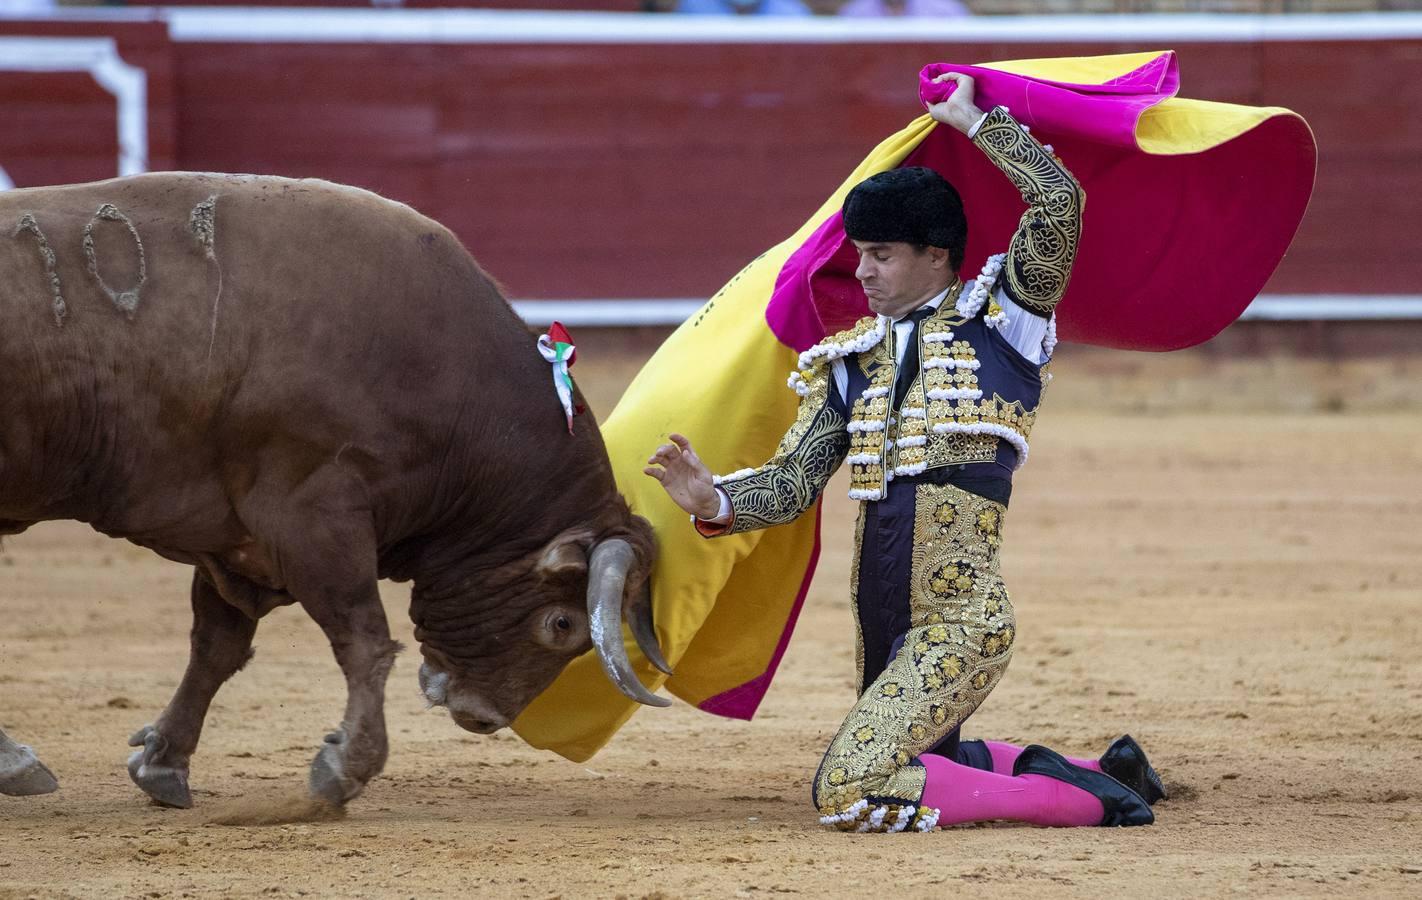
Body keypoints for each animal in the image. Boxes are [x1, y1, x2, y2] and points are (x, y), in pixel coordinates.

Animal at [0, 173, 671, 807]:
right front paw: (345, 767)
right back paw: (18, 764)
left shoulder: (238, 541)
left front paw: (162, 763)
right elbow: (364, 639)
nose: (483, 717)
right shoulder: (311, 516)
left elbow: (216, 648)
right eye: (562, 624)